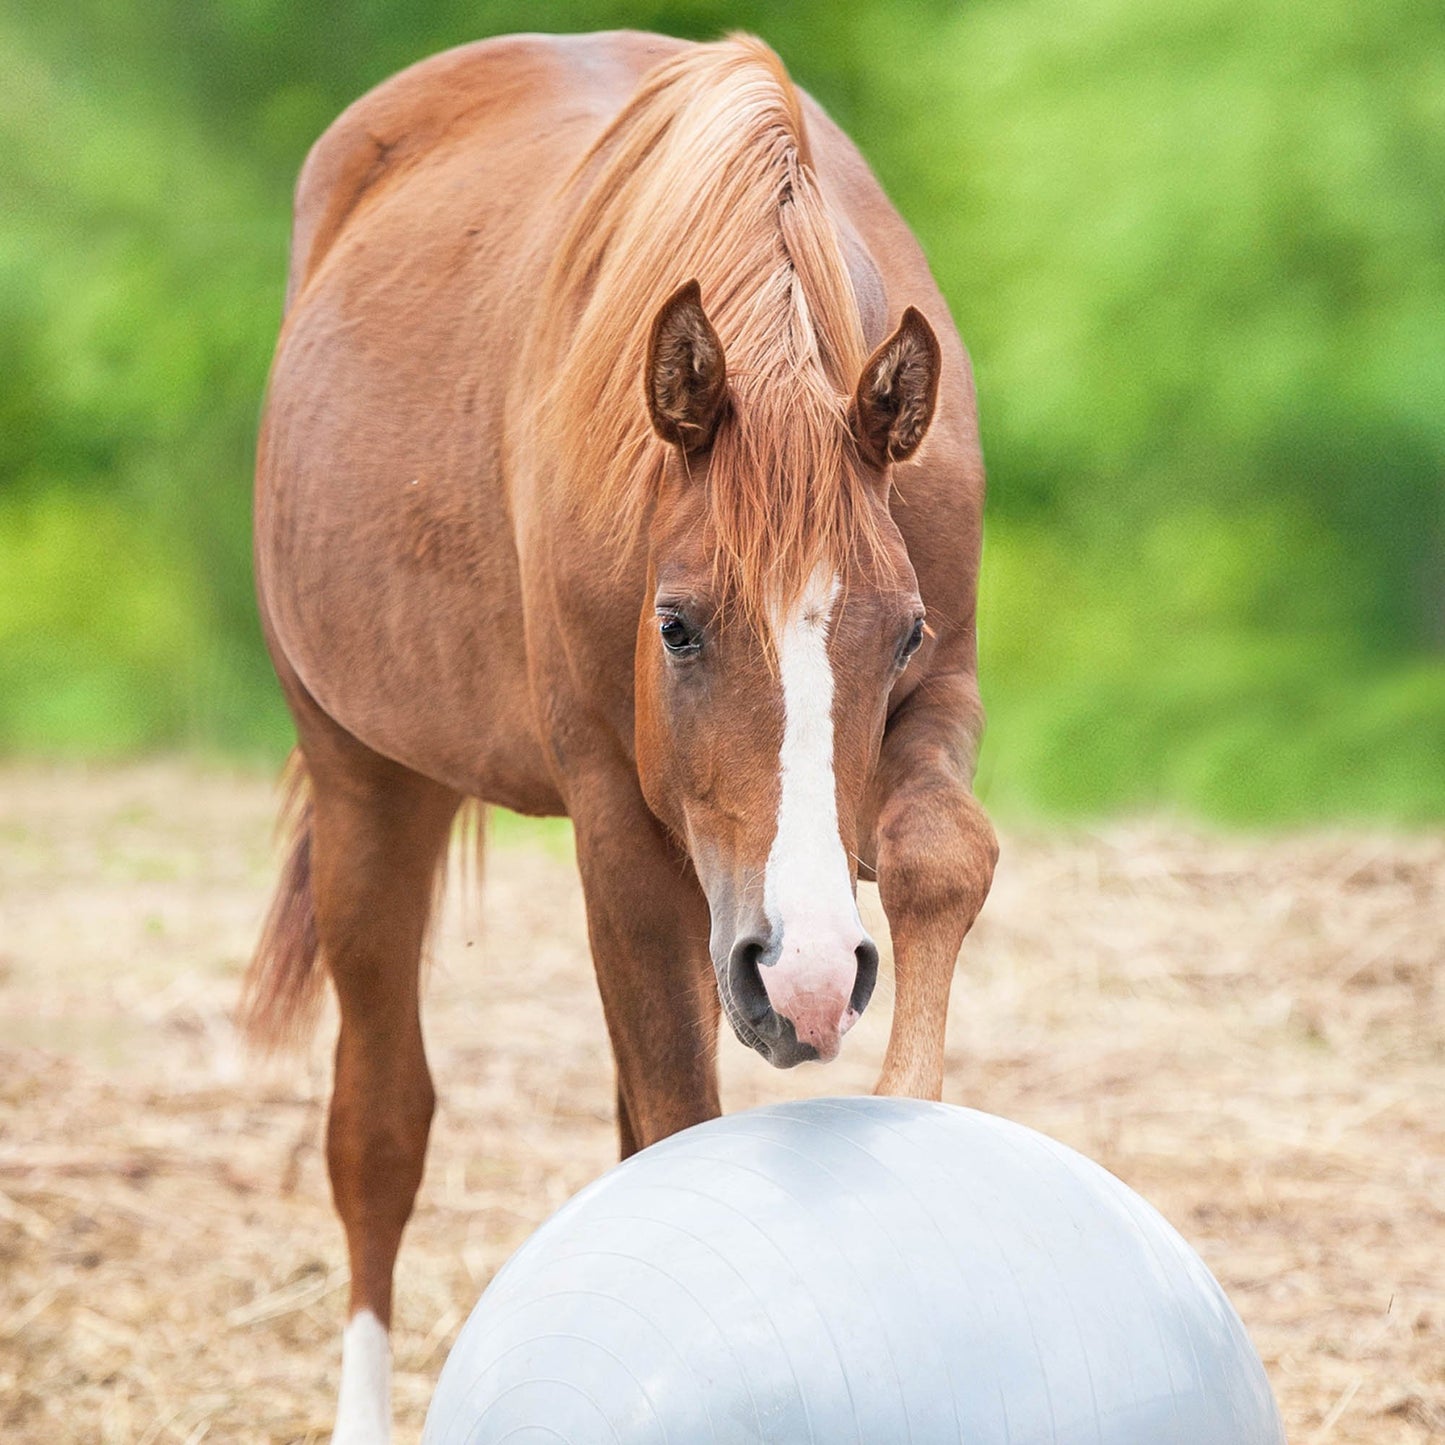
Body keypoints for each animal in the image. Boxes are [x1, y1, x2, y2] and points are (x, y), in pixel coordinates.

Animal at [245, 28, 994, 1439]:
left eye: (903, 632)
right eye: (676, 626)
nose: (806, 976)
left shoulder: (940, 704)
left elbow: (940, 857)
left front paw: (904, 1113)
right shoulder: (620, 827)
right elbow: (667, 1111)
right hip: (369, 778)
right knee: (377, 1128)